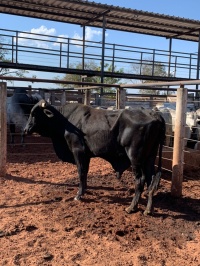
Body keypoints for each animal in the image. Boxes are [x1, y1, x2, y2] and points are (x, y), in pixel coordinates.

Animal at [24, 100, 166, 216]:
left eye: (34, 114)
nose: (25, 130)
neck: (65, 121)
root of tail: (153, 114)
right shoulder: (86, 155)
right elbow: (85, 173)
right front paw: (84, 190)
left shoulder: (78, 151)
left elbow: (81, 172)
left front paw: (79, 195)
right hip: (149, 157)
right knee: (151, 180)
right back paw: (148, 209)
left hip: (135, 157)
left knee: (140, 180)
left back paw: (132, 207)